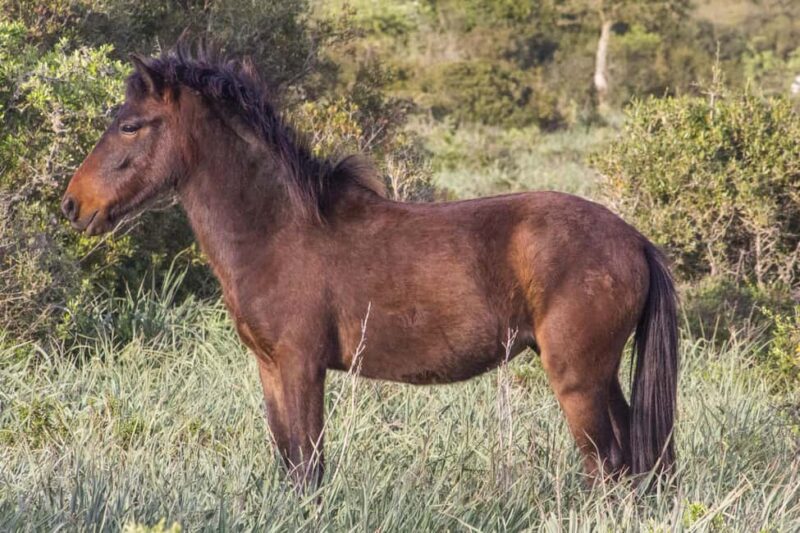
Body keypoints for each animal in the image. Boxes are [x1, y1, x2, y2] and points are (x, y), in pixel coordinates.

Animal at [61, 47, 678, 490]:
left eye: (131, 125)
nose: (73, 205)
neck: (276, 229)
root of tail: (634, 240)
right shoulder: (270, 369)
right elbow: (289, 463)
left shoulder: (301, 367)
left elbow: (308, 468)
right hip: (602, 379)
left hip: (578, 381)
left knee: (609, 466)